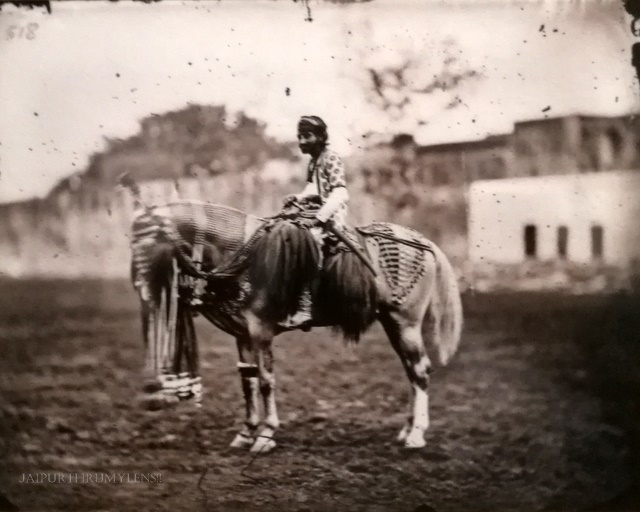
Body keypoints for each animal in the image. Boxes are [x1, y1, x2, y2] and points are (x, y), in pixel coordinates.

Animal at [121, 175, 463, 453]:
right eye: (132, 242)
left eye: (150, 240)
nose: (140, 285)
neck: (241, 250)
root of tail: (422, 241)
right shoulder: (242, 335)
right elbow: (247, 381)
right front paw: (246, 432)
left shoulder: (261, 331)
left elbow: (266, 381)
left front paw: (266, 435)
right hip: (393, 323)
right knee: (411, 372)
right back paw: (406, 430)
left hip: (406, 323)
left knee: (420, 370)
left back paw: (416, 434)